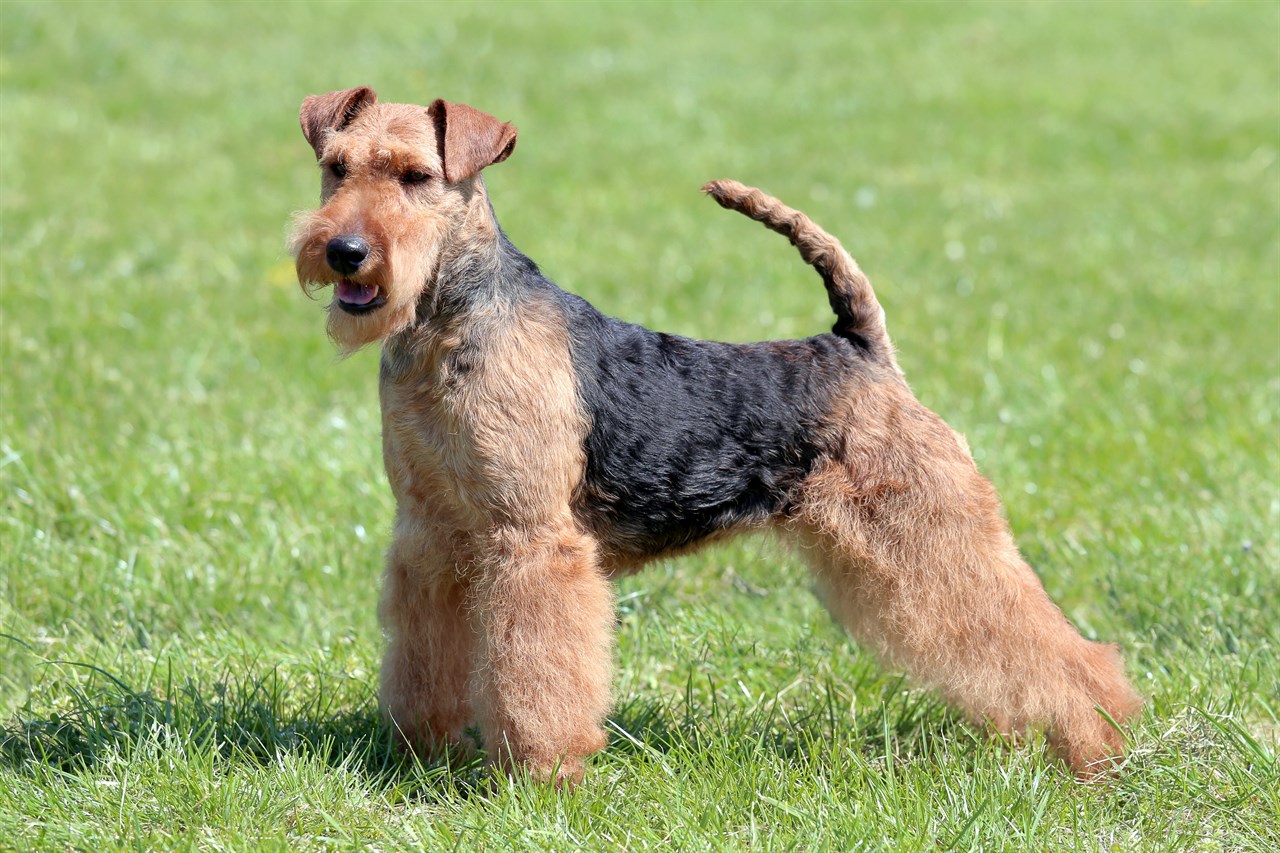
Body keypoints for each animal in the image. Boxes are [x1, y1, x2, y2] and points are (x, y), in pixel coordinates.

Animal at [290, 87, 1141, 783]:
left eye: (415, 176)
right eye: (336, 167)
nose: (344, 252)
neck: (447, 327)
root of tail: (859, 346)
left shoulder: (532, 541)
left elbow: (537, 672)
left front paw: (541, 773)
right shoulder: (429, 535)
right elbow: (422, 658)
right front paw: (416, 752)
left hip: (932, 530)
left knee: (1058, 646)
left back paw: (1097, 743)